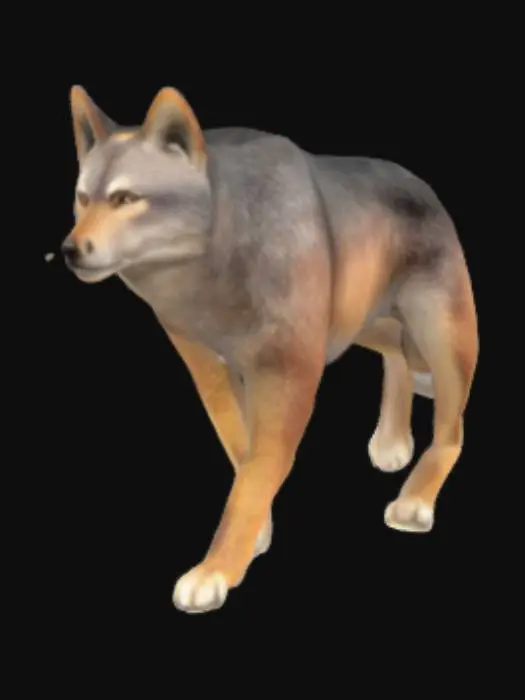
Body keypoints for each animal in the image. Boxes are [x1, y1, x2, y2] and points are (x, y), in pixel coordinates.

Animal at [62, 85, 479, 614]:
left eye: (124, 198)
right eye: (83, 198)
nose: (70, 250)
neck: (217, 262)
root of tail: (424, 188)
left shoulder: (287, 375)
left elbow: (258, 470)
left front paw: (216, 569)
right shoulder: (213, 372)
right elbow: (243, 454)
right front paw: (256, 534)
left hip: (442, 339)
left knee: (452, 430)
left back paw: (415, 500)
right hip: (360, 322)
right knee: (397, 356)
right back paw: (390, 439)